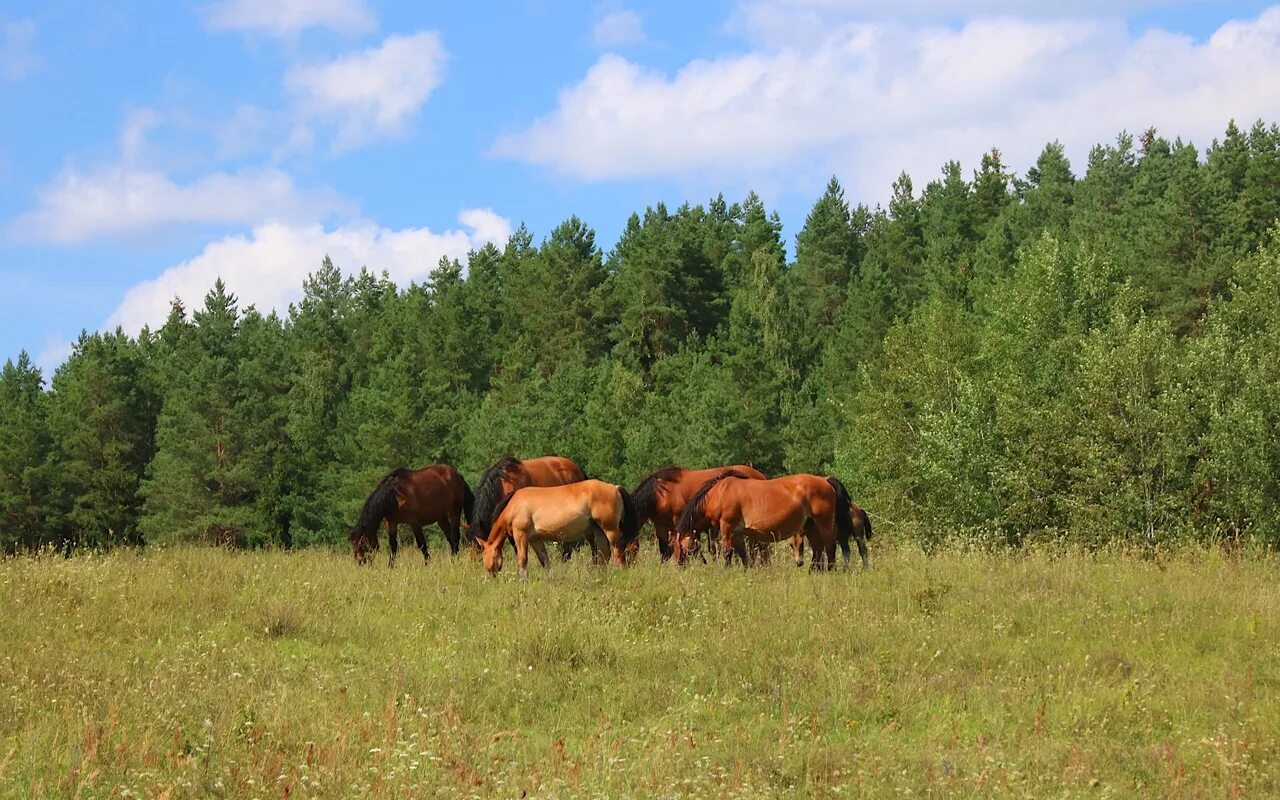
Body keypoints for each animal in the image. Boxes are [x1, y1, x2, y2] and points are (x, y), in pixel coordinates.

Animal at [481, 476, 640, 576]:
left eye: (486, 556)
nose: (489, 578)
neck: (515, 505)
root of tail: (615, 487)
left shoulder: (521, 535)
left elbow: (522, 559)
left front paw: (522, 580)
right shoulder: (535, 539)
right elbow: (544, 560)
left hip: (610, 529)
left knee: (618, 550)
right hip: (599, 529)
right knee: (604, 552)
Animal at [675, 471, 875, 570]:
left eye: (680, 546)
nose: (678, 565)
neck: (719, 493)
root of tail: (825, 480)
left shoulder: (727, 528)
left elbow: (728, 553)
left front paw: (726, 570)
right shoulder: (737, 532)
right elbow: (743, 554)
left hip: (823, 523)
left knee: (830, 548)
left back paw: (830, 571)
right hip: (810, 526)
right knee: (818, 549)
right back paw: (813, 571)